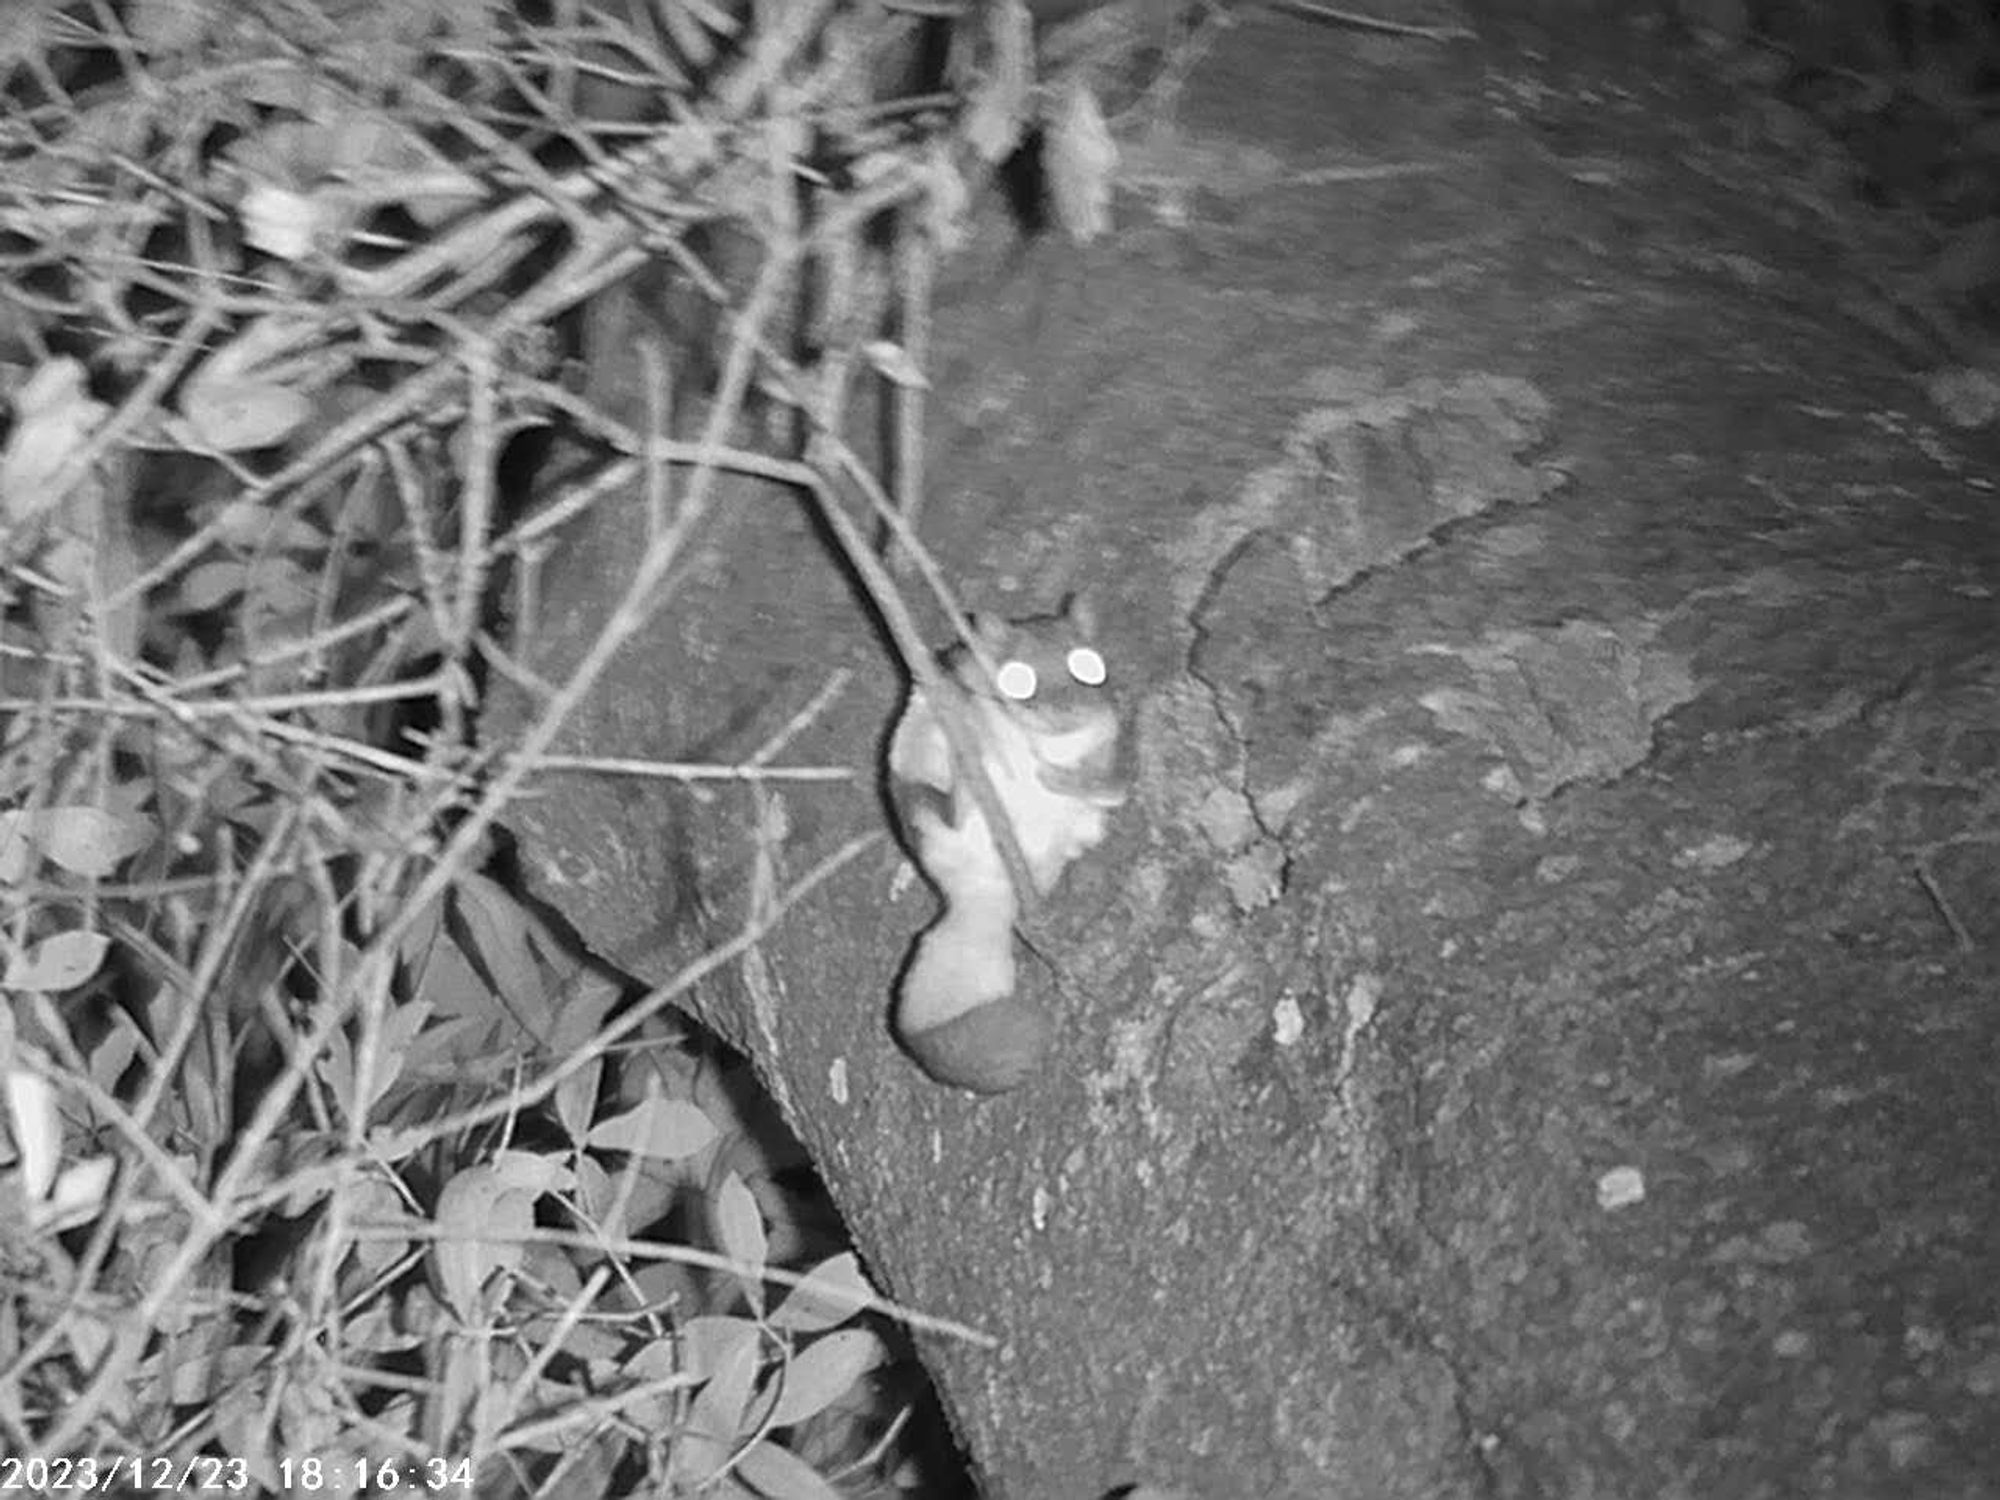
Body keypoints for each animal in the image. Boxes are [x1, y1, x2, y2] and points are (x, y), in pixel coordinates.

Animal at [888, 592, 1136, 1096]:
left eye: (1091, 667)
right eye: (1020, 677)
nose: (1064, 713)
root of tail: (981, 894)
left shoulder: (1103, 743)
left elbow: (1109, 779)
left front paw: (1065, 776)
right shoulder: (957, 674)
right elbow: (965, 689)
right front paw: (982, 717)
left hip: (1077, 831)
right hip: (918, 790)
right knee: (946, 807)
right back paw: (968, 770)